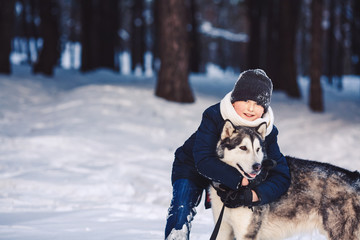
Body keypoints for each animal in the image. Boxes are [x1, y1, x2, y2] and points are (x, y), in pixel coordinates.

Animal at [210, 121, 360, 239]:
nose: (257, 166)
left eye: (257, 149)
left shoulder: (246, 233)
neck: (232, 191)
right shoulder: (222, 229)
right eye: (243, 147)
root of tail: (355, 178)